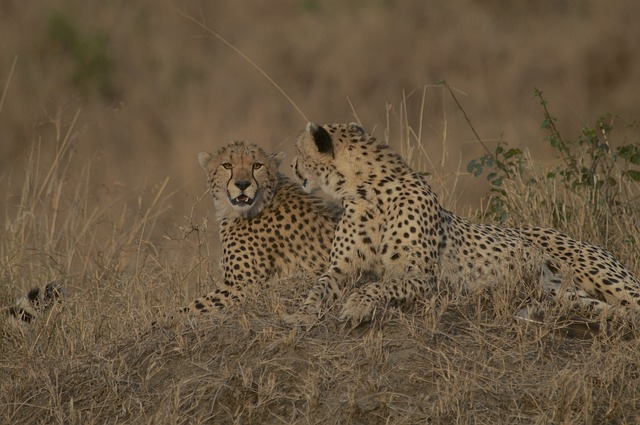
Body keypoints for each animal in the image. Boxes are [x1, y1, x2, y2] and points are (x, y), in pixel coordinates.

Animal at [284, 121, 640, 322]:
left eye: (299, 151)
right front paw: (301, 315)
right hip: (559, 290)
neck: (366, 190)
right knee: (605, 308)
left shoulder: (421, 275)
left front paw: (356, 307)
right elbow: (320, 287)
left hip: (603, 276)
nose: (292, 165)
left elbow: (377, 285)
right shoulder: (341, 268)